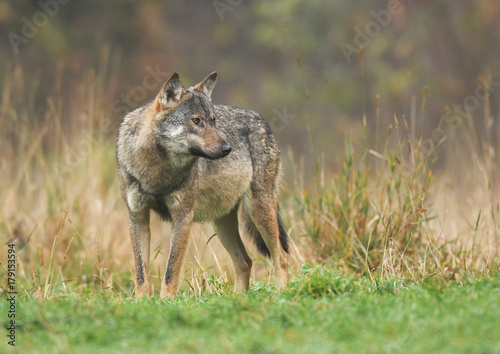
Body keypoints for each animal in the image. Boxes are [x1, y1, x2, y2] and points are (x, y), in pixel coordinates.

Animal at [116, 71, 290, 296]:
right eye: (197, 120)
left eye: (213, 121)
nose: (227, 149)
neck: (157, 170)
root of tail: (263, 122)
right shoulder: (137, 217)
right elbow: (141, 274)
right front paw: (142, 301)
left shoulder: (183, 217)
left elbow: (171, 272)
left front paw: (166, 300)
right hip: (223, 225)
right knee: (245, 262)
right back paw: (237, 299)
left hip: (258, 211)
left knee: (281, 257)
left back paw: (281, 294)